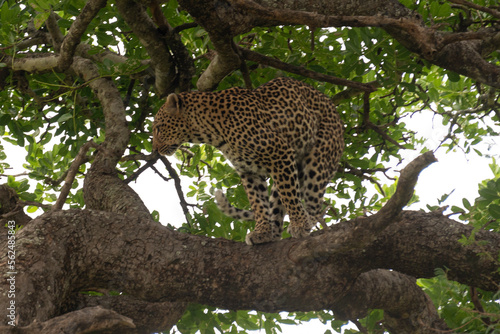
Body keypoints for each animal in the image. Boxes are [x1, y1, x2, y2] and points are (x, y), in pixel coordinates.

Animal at [153, 78, 344, 245]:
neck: (211, 131)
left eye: (158, 129)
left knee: (312, 201)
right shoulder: (248, 170)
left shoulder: (279, 152)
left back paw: (308, 221)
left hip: (317, 161)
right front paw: (262, 232)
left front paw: (299, 224)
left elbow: (290, 196)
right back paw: (275, 233)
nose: (155, 150)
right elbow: (258, 202)